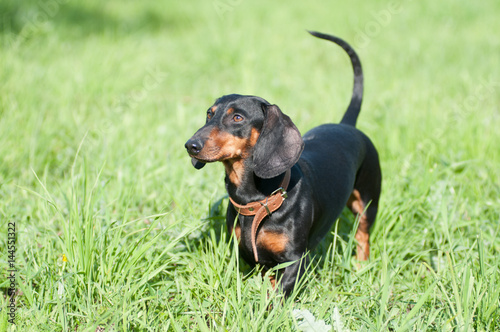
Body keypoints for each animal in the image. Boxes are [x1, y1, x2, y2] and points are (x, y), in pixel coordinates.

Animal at [186, 31, 380, 296]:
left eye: (238, 117)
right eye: (209, 114)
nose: (190, 145)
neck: (256, 200)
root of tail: (347, 125)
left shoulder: (294, 260)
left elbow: (278, 296)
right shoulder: (253, 257)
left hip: (367, 203)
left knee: (363, 237)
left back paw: (361, 268)